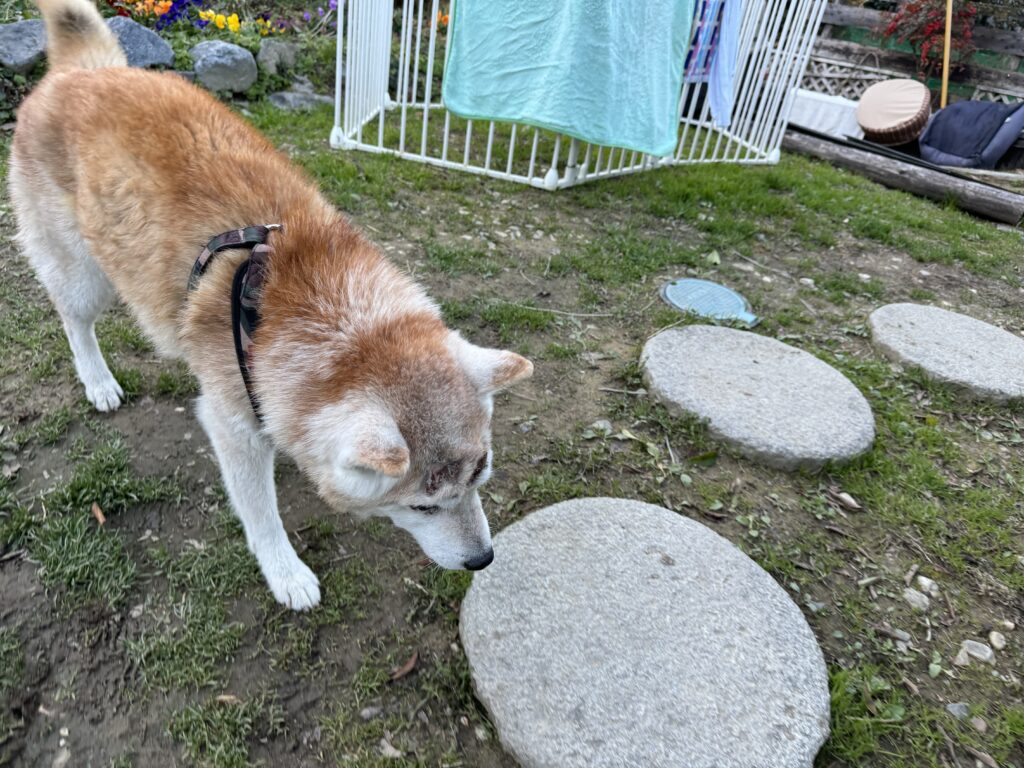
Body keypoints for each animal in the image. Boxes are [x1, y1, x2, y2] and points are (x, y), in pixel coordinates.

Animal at [10, 0, 532, 610]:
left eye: (481, 479)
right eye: (421, 506)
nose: (482, 560)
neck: (331, 316)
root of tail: (84, 72)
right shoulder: (231, 422)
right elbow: (259, 510)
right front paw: (284, 571)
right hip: (85, 274)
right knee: (73, 319)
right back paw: (96, 380)